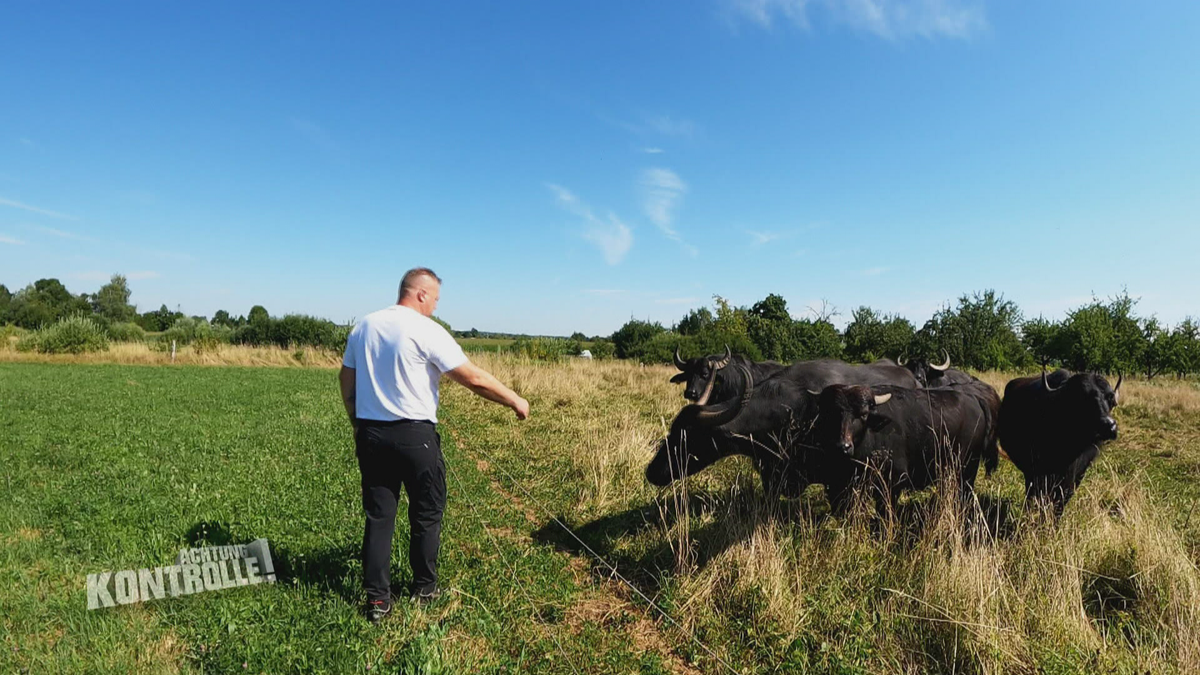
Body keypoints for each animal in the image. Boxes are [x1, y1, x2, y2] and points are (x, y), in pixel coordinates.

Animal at [998, 365, 1118, 511]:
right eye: (1082, 396)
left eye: (1111, 399)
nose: (1108, 425)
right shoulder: (1037, 471)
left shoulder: (1077, 474)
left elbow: (1062, 498)